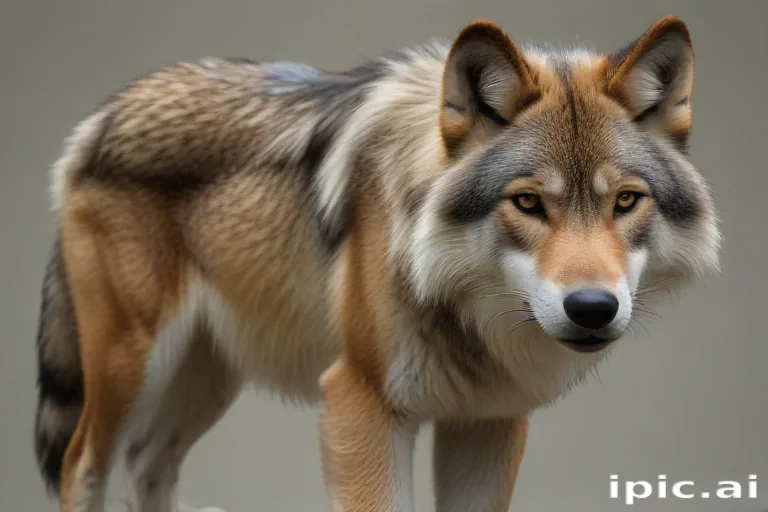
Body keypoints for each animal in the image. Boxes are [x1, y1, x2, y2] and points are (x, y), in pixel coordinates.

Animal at [33, 14, 720, 512]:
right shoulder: (360, 403)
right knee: (80, 463)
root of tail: (99, 118)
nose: (593, 308)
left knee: (147, 463)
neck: (455, 304)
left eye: (625, 201)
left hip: (208, 374)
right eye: (527, 202)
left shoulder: (488, 421)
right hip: (132, 367)